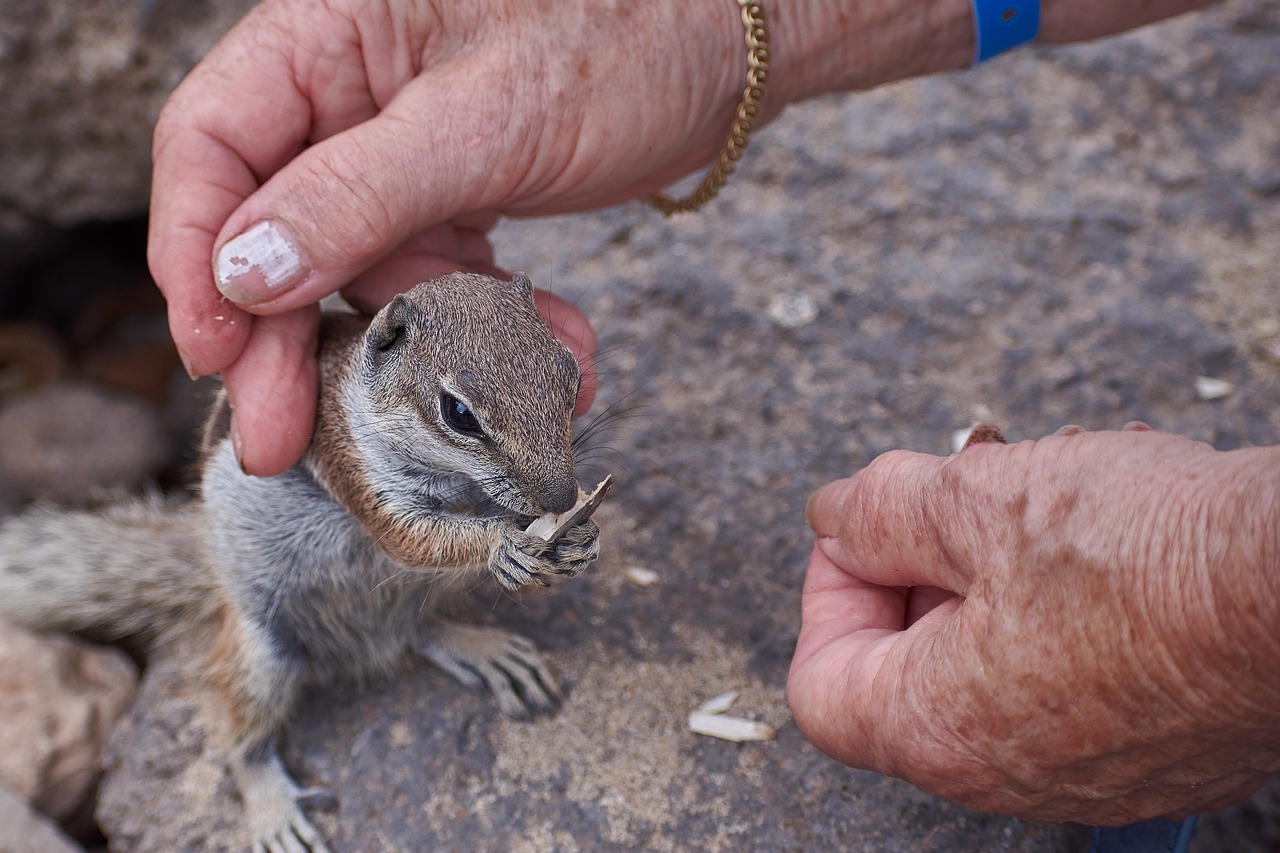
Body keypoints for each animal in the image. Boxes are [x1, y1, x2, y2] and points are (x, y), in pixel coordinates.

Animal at [0, 272, 604, 850]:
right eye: (458, 413)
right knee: (240, 741)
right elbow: (409, 538)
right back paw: (273, 812)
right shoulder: (347, 460)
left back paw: (481, 647)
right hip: (258, 657)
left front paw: (580, 534)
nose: (558, 496)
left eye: (570, 373)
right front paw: (506, 544)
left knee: (418, 628)